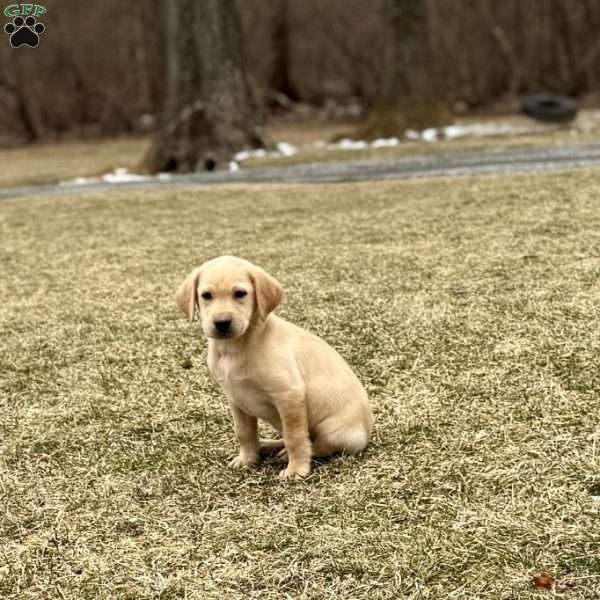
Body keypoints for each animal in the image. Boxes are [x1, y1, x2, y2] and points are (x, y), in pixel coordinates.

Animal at [176, 256, 372, 478]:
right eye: (206, 295)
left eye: (240, 293)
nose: (222, 322)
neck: (236, 347)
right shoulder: (236, 399)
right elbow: (244, 432)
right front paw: (247, 459)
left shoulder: (289, 394)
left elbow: (295, 437)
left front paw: (296, 469)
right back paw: (267, 445)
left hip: (335, 431)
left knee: (316, 444)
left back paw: (285, 454)